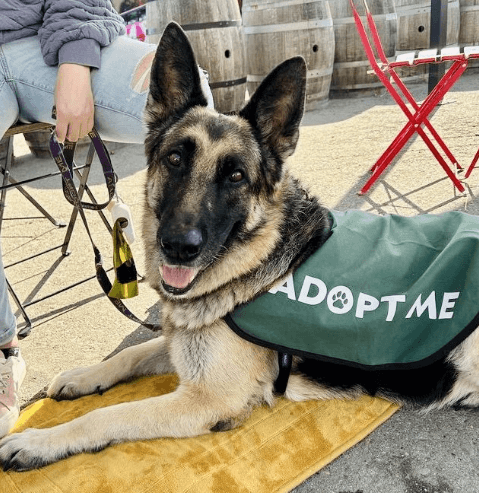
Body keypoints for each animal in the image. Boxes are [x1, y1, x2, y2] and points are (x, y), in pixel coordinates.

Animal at [0, 23, 479, 468]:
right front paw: (84, 376)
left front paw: (37, 440)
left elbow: (109, 415)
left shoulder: (207, 398)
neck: (258, 259)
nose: (178, 247)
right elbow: (131, 353)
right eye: (175, 159)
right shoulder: (185, 342)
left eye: (235, 176)